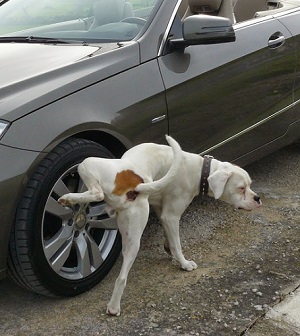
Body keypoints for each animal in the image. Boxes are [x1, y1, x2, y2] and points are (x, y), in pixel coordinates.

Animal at [58, 136, 260, 316]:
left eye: (249, 186)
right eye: (242, 188)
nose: (258, 198)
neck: (199, 170)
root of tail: (135, 186)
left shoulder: (166, 213)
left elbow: (174, 242)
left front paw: (179, 259)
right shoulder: (170, 216)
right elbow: (176, 242)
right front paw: (182, 261)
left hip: (93, 172)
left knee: (98, 196)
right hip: (90, 168)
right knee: (98, 195)